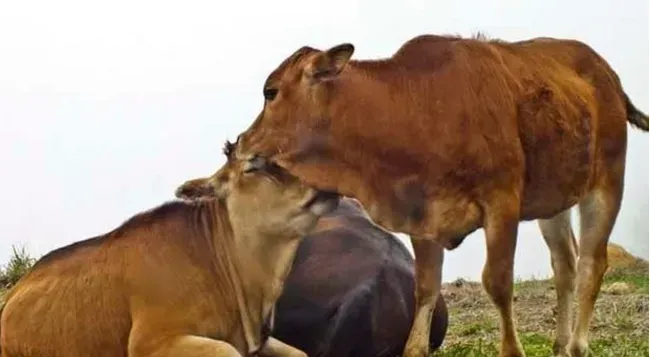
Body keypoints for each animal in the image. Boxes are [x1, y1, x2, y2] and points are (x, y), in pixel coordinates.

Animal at [216, 33, 644, 356]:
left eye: (270, 92)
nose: (238, 144)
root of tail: (606, 74)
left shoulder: (502, 204)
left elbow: (498, 282)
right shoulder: (423, 218)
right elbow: (425, 291)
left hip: (607, 183)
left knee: (592, 263)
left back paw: (577, 345)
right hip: (553, 202)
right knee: (565, 264)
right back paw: (559, 344)